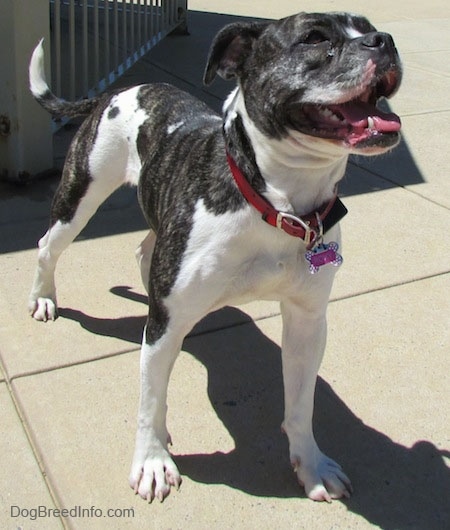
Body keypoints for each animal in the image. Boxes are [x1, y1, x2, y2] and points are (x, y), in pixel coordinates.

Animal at [27, 11, 400, 500]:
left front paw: (311, 464)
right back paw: (43, 297)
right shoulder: (165, 327)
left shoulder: (307, 323)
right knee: (47, 247)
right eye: (314, 38)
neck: (278, 203)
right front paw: (151, 461)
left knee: (144, 250)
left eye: (367, 26)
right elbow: (150, 402)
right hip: (80, 195)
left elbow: (301, 405)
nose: (384, 40)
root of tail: (119, 90)